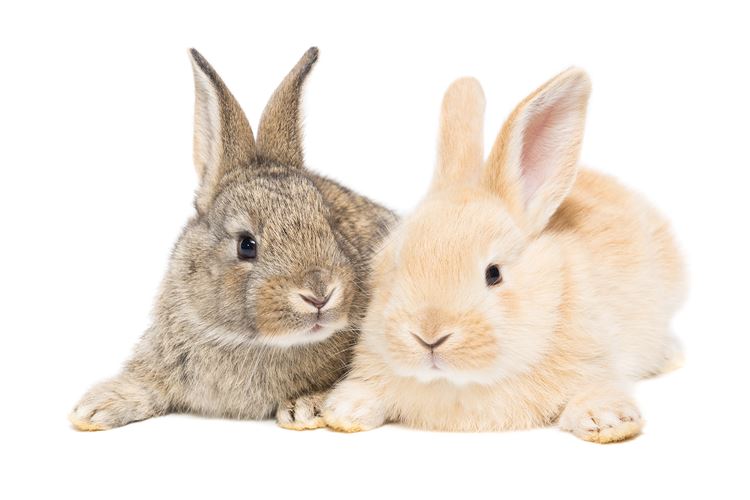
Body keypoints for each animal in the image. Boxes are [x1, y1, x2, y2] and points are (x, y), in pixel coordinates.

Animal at [321, 69, 686, 443]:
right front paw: (346, 409)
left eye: (493, 273)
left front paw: (606, 420)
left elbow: (598, 386)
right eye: (395, 267)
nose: (429, 336)